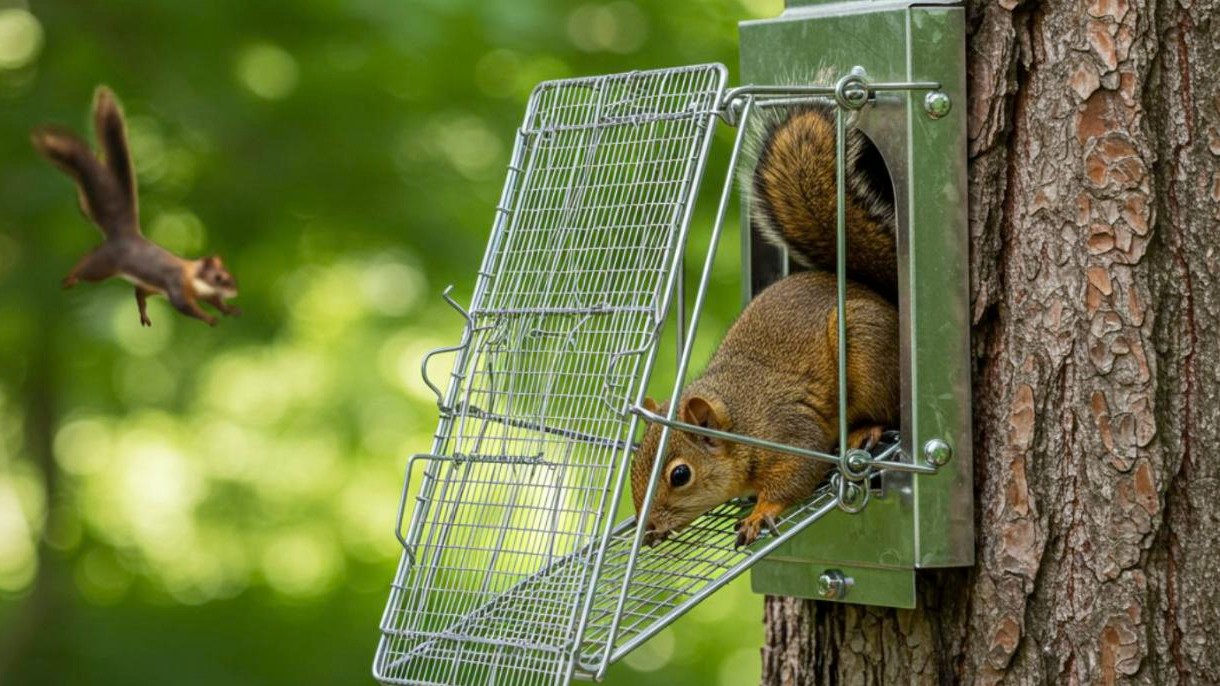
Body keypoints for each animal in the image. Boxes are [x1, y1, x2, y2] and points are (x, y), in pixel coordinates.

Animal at [31, 87, 240, 327]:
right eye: (218, 277)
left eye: (228, 274)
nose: (234, 290)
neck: (191, 279)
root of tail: (125, 236)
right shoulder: (176, 286)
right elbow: (184, 306)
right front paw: (209, 317)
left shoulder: (202, 293)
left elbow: (214, 301)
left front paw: (229, 309)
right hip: (103, 265)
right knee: (87, 264)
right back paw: (71, 277)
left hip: (149, 285)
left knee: (139, 292)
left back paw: (143, 312)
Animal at [631, 104, 899, 547]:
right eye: (636, 461)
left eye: (680, 475)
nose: (648, 528)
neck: (741, 419)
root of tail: (884, 299)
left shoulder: (793, 434)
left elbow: (795, 477)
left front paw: (761, 512)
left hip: (865, 341)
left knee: (887, 409)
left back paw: (866, 430)